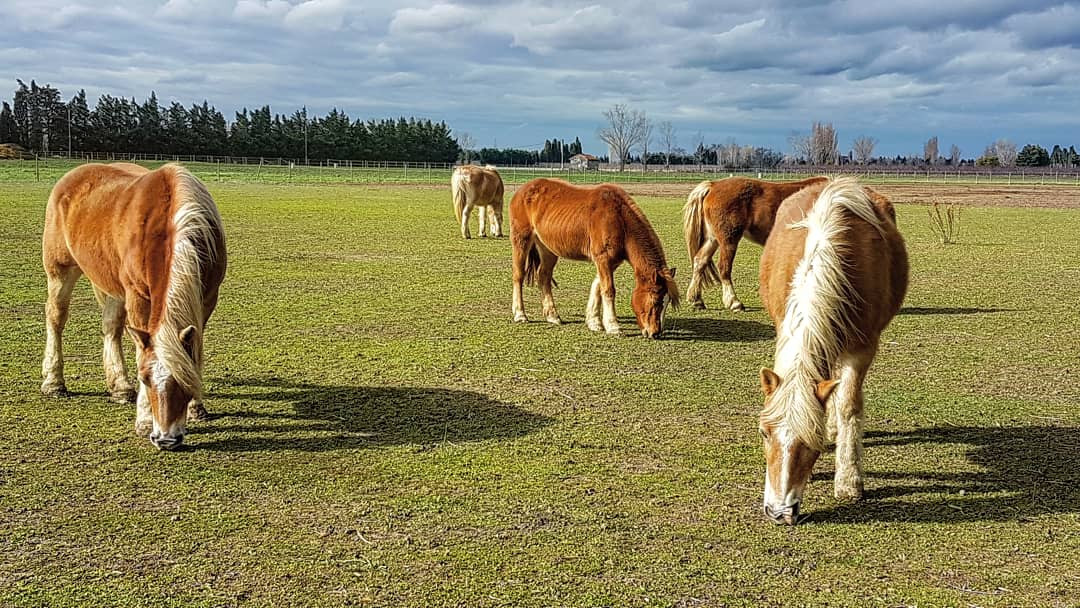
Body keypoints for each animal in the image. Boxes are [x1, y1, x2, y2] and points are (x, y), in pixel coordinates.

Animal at [42, 164, 227, 449]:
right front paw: (144, 420)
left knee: (111, 327)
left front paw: (196, 407)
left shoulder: (207, 298)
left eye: (183, 381)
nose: (166, 439)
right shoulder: (137, 295)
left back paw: (120, 387)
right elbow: (141, 351)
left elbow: (195, 347)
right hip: (60, 269)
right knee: (56, 318)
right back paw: (53, 382)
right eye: (145, 378)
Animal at [511, 178, 678, 341]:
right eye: (655, 301)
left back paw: (552, 316)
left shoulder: (610, 262)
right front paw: (613, 327)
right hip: (521, 240)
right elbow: (608, 290)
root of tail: (523, 190)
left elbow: (598, 286)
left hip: (547, 249)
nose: (655, 333)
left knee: (544, 276)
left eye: (667, 302)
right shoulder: (603, 259)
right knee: (518, 276)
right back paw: (520, 314)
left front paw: (594, 322)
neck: (619, 218)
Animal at [682, 174, 825, 308]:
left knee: (700, 261)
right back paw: (733, 301)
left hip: (713, 239)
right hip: (728, 240)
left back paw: (696, 299)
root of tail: (713, 185)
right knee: (724, 268)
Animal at [756, 176, 907, 522]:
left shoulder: (862, 348)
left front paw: (849, 480)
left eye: (812, 441)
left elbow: (849, 405)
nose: (779, 512)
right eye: (764, 433)